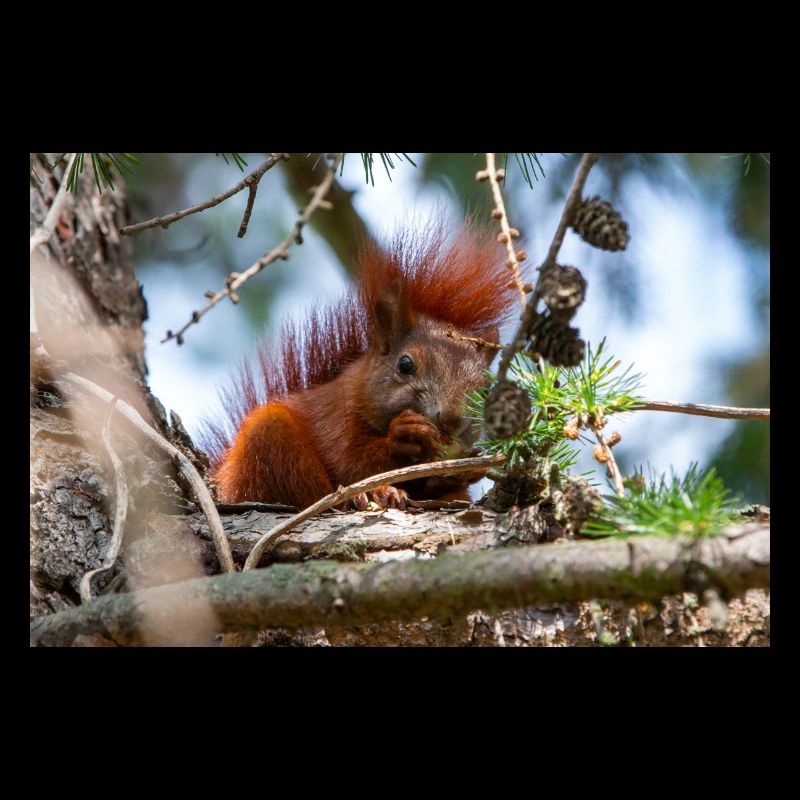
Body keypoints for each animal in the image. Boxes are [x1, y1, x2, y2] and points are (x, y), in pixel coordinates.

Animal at [201, 221, 520, 510]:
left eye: (485, 389)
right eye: (405, 365)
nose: (451, 419)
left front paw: (470, 467)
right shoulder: (334, 418)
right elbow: (351, 461)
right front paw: (405, 435)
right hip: (268, 443)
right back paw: (368, 495)